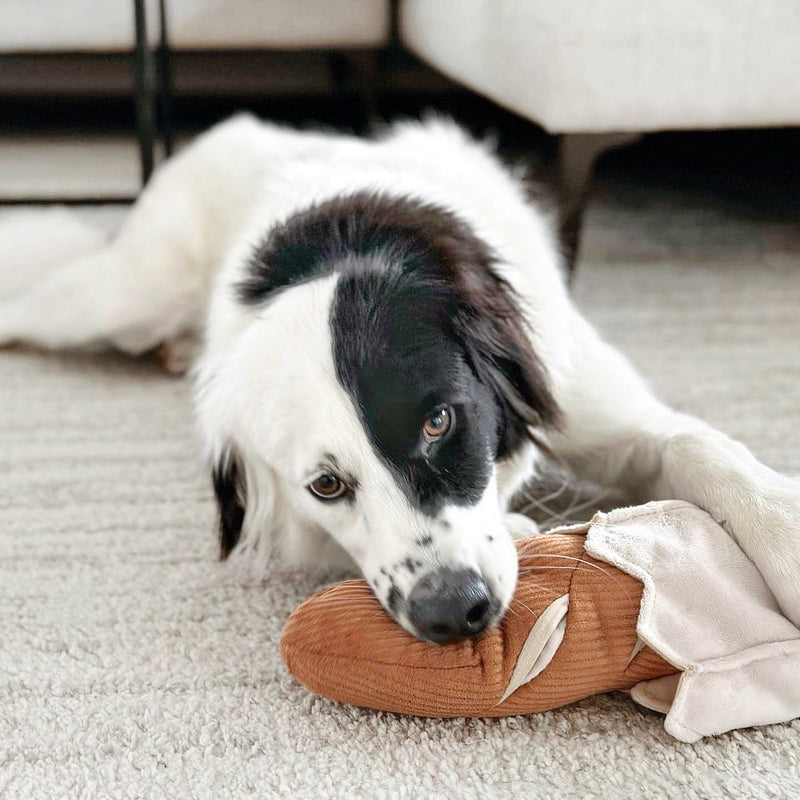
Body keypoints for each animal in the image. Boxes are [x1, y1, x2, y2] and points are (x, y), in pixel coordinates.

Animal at [1, 115, 800, 644]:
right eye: (326, 485)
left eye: (439, 422)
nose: (453, 612)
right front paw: (520, 527)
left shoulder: (596, 401)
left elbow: (704, 449)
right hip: (126, 295)